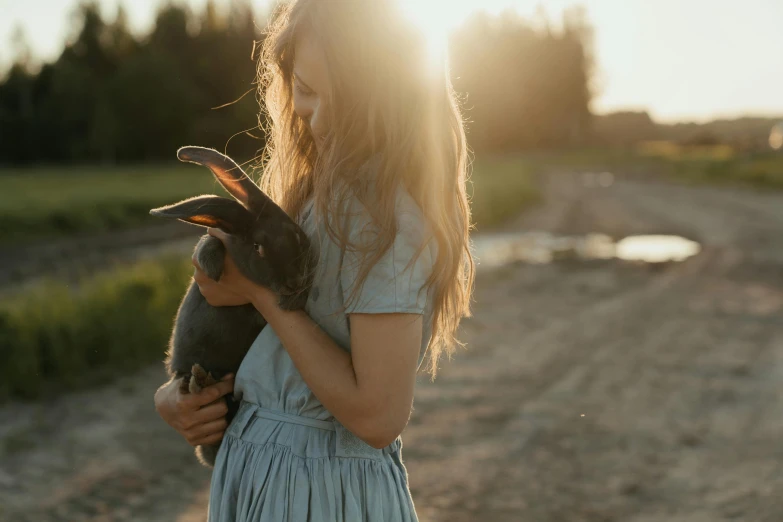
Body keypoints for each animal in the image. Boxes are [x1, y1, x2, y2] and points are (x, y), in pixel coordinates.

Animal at [150, 146, 316, 468]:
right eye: (258, 248)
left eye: (296, 234)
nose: (294, 281)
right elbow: (208, 246)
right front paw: (213, 267)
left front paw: (292, 300)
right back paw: (198, 382)